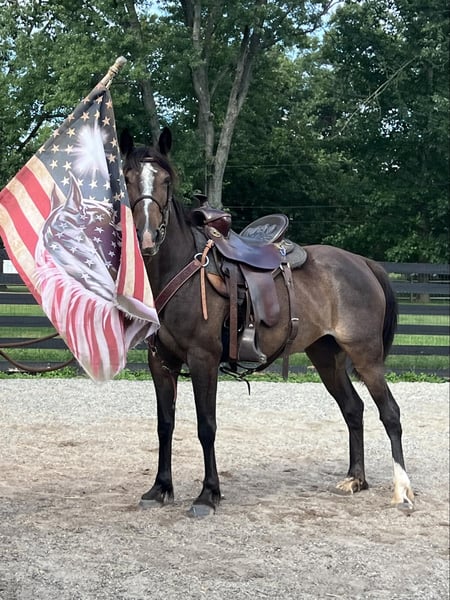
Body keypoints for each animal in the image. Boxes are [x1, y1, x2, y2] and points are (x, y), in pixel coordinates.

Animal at [120, 127, 415, 517]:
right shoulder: (161, 361)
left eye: (166, 181)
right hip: (327, 356)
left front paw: (208, 494)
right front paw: (160, 488)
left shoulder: (203, 359)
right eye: (127, 177)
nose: (148, 238)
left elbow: (206, 426)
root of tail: (363, 263)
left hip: (366, 357)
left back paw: (402, 490)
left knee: (390, 413)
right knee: (353, 408)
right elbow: (164, 424)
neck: (181, 268)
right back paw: (356, 479)